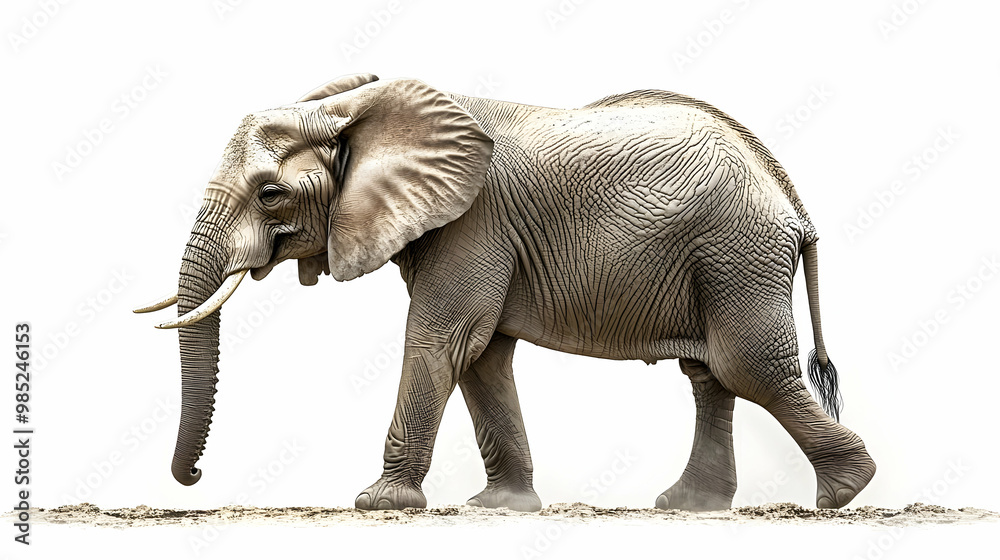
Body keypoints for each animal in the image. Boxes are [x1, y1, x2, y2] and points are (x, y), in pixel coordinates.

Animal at [136, 73, 875, 512]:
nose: (193, 479)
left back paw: (844, 493)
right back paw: (688, 506)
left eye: (269, 193)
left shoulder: (473, 223)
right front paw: (500, 508)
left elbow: (443, 340)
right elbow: (482, 356)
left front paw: (378, 502)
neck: (360, 116)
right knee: (710, 374)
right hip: (721, 260)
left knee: (746, 366)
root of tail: (788, 195)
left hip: (736, 253)